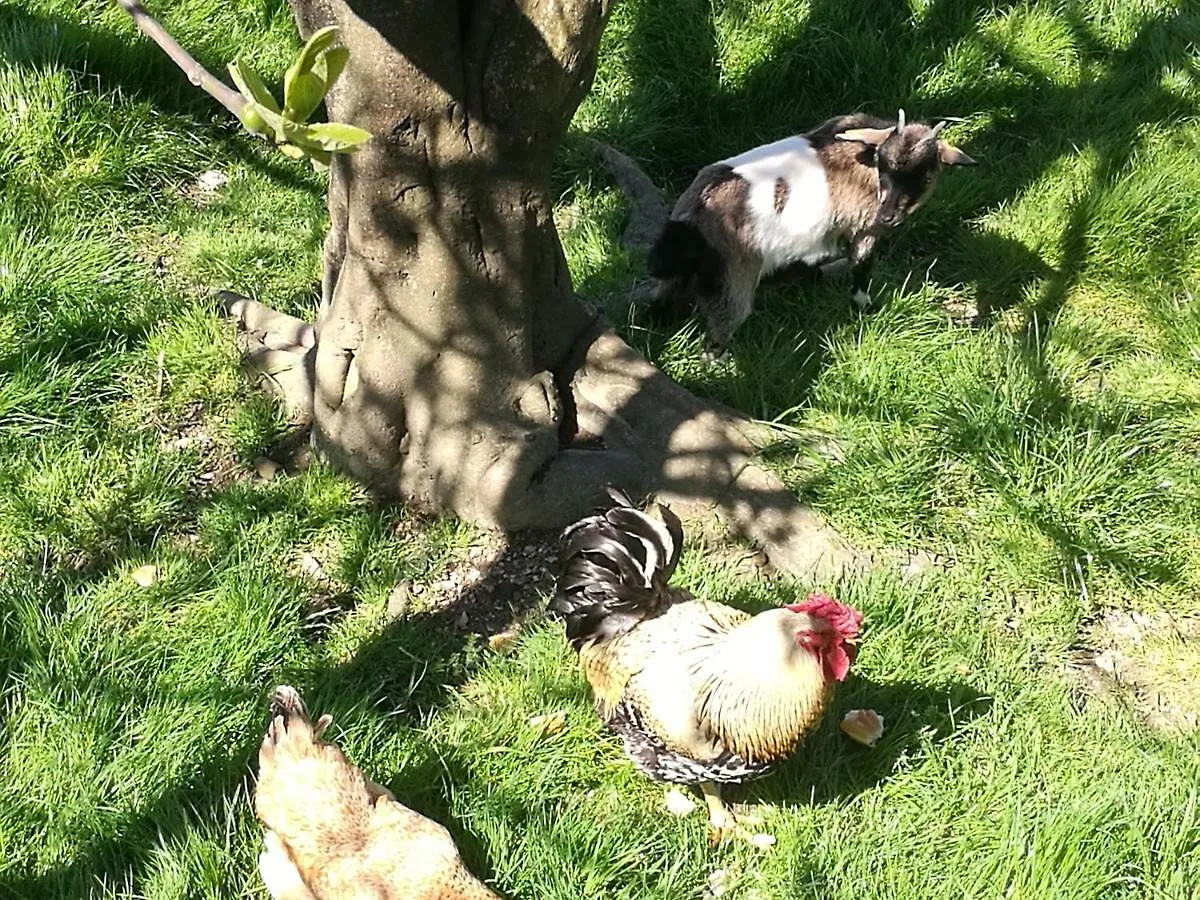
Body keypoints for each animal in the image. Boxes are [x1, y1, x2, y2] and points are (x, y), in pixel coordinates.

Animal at [648, 109, 974, 355]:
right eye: (883, 166)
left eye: (926, 176)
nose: (888, 217)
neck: (864, 162)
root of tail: (695, 214)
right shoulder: (863, 227)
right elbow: (862, 266)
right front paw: (864, 307)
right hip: (734, 278)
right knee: (720, 330)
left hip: (681, 273)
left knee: (661, 300)